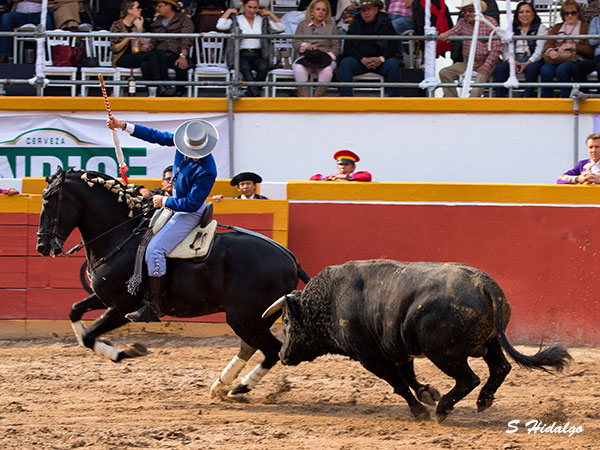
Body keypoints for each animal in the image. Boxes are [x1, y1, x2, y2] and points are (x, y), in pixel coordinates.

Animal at [35, 168, 310, 398]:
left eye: (49, 201)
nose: (42, 246)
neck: (122, 236)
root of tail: (290, 259)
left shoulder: (123, 307)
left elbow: (90, 335)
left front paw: (127, 351)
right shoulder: (104, 298)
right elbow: (75, 312)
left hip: (244, 317)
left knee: (272, 350)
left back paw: (239, 387)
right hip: (252, 319)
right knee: (251, 347)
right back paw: (221, 386)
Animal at [262, 260, 572, 422]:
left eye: (287, 322)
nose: (283, 355)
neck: (329, 301)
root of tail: (485, 284)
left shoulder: (371, 358)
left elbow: (398, 383)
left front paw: (420, 410)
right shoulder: (398, 350)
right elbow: (409, 377)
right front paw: (426, 393)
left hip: (443, 353)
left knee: (469, 378)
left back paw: (443, 409)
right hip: (491, 342)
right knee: (500, 368)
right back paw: (482, 402)